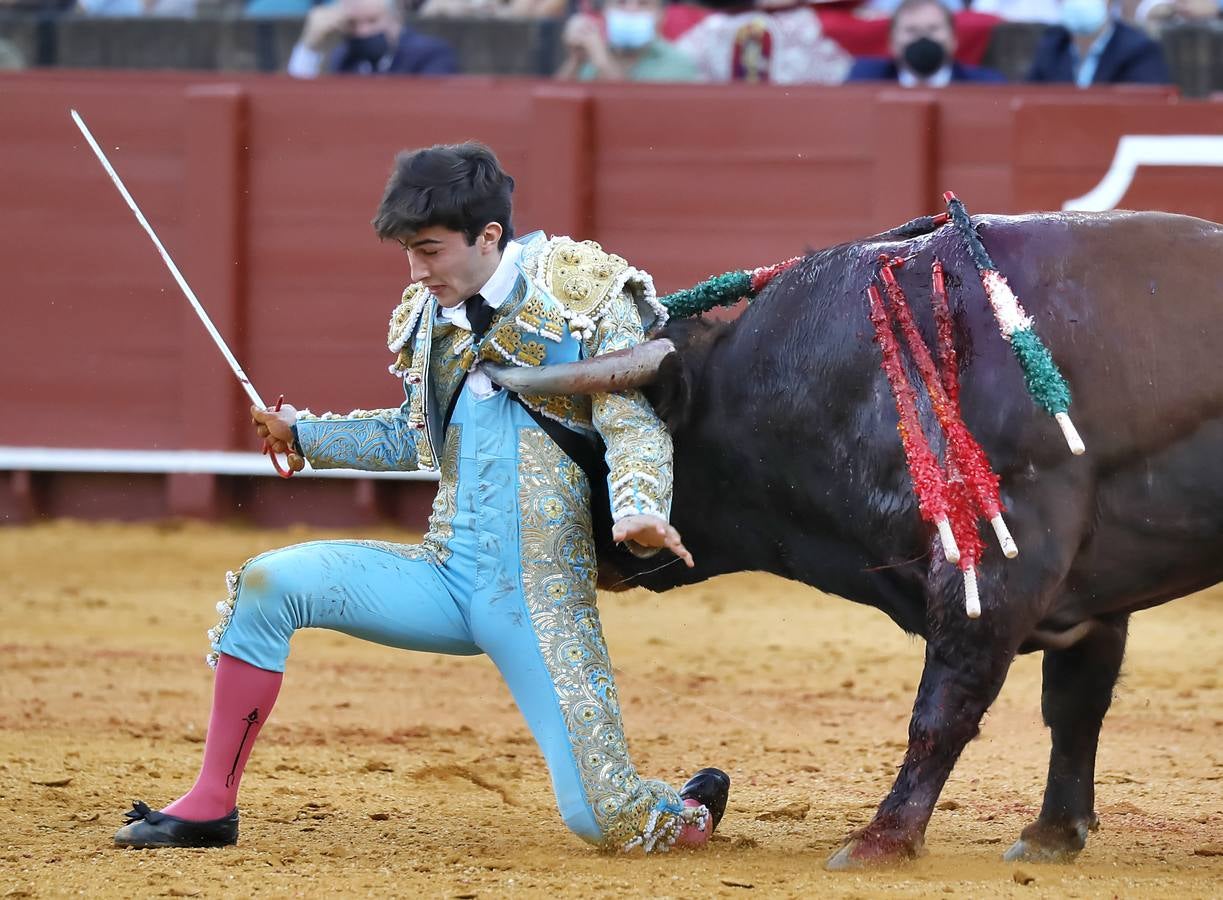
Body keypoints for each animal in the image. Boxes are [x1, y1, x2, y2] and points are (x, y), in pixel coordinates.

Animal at [489, 209, 1223, 865]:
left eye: (603, 439)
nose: (598, 548)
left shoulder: (999, 572)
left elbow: (943, 709)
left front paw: (881, 839)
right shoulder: (1093, 602)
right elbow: (1074, 706)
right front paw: (1051, 836)